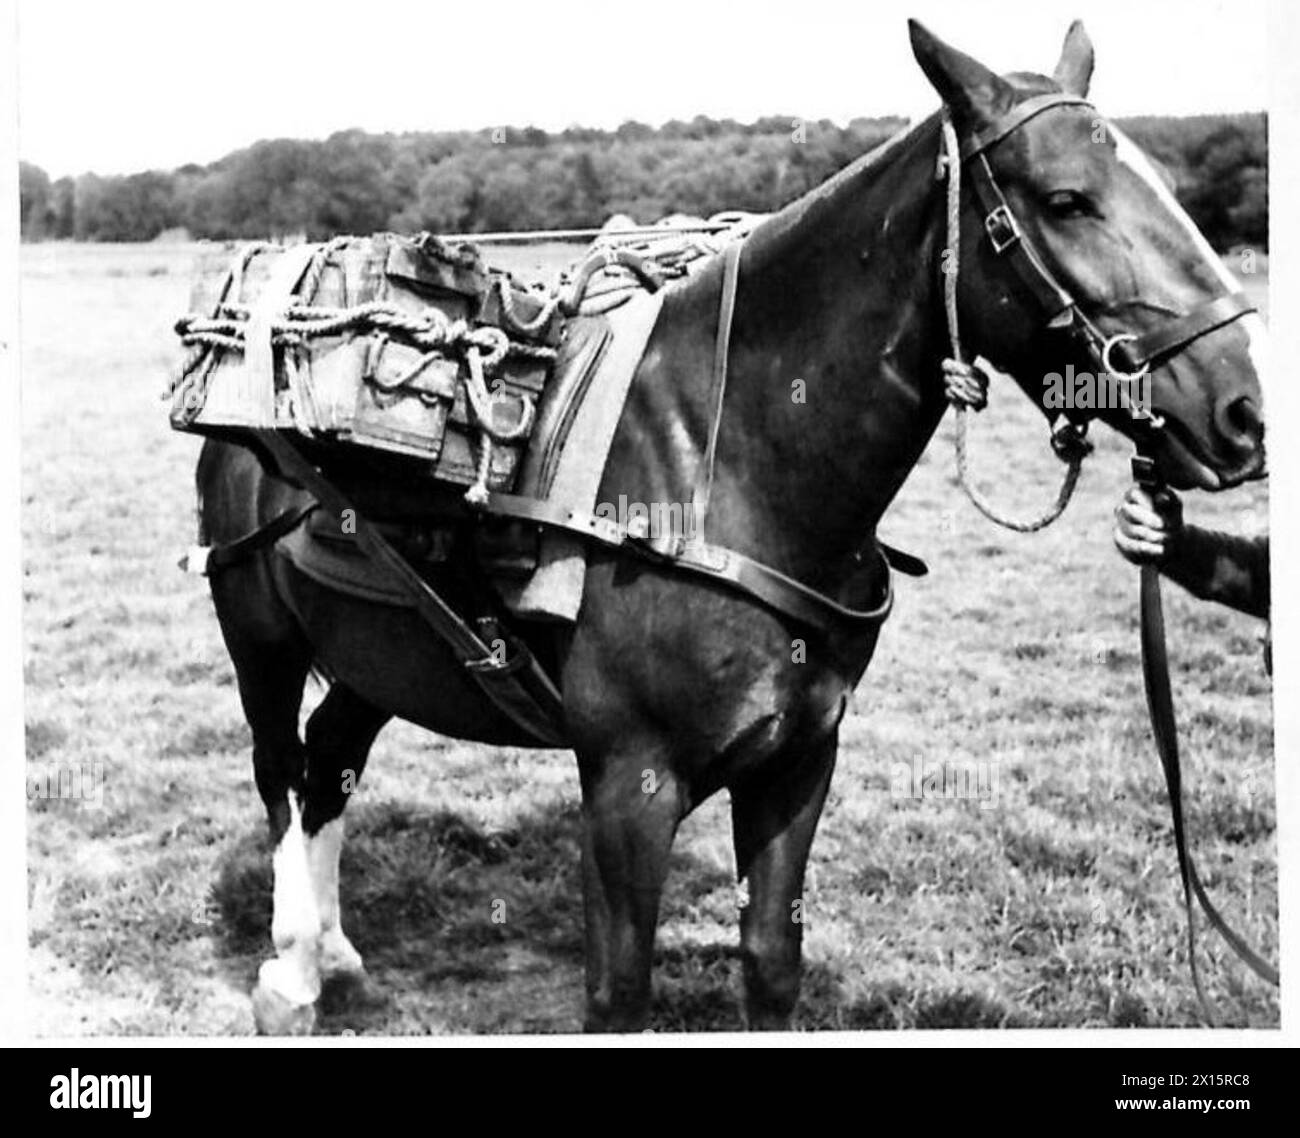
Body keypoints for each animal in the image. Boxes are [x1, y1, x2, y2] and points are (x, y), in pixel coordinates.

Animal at [194, 19, 1267, 1033]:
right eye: (1066, 199)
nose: (1243, 414)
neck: (723, 473)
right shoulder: (629, 784)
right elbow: (618, 996)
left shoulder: (799, 762)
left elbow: (772, 965)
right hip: (259, 636)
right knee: (281, 772)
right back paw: (291, 970)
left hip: (379, 653)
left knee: (331, 763)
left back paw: (334, 953)